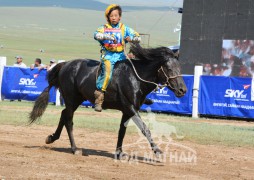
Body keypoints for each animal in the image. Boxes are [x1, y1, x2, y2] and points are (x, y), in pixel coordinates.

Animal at [28, 43, 187, 156]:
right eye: (169, 69)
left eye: (180, 68)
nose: (182, 90)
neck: (135, 78)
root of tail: (65, 64)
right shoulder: (131, 108)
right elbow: (145, 129)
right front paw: (157, 150)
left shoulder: (127, 111)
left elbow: (122, 130)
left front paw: (119, 152)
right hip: (71, 99)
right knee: (68, 120)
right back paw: (74, 148)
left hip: (76, 100)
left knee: (64, 115)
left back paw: (51, 138)